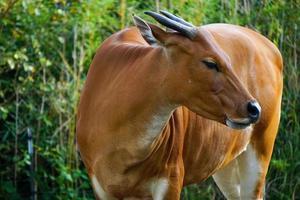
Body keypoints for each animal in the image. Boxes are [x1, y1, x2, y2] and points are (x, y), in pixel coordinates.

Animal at [76, 10, 282, 200]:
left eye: (227, 59)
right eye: (210, 63)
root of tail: (272, 48)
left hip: (260, 152)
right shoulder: (102, 188)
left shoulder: (170, 181)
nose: (254, 109)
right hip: (227, 165)